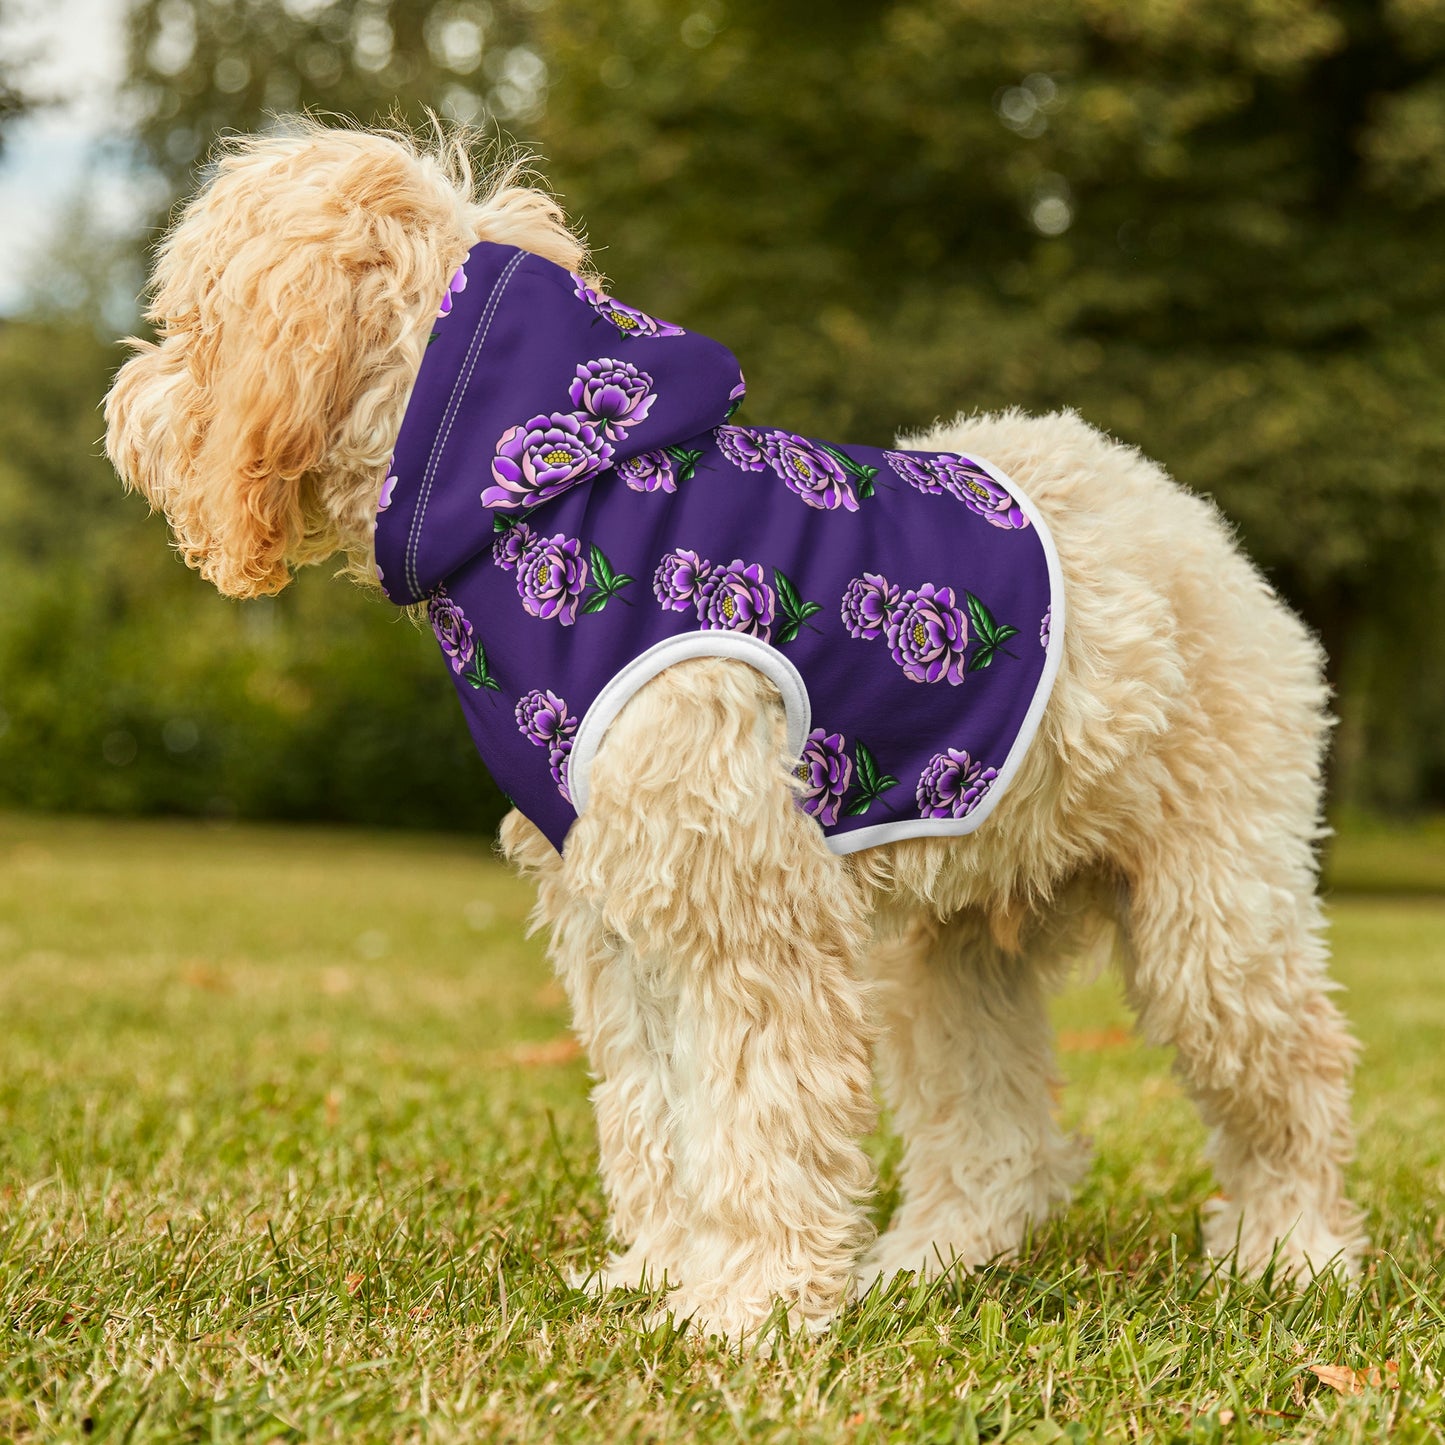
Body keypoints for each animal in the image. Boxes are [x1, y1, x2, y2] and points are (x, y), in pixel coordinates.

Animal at [104, 124, 1364, 1340]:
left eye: (191, 320)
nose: (123, 407)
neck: (548, 496)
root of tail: (1187, 518)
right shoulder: (619, 911)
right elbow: (656, 1110)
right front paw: (662, 1273)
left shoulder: (744, 905)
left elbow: (758, 1111)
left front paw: (747, 1305)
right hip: (949, 947)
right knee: (995, 1132)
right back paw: (929, 1260)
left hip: (1212, 914)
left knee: (1292, 1075)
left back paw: (1290, 1252)